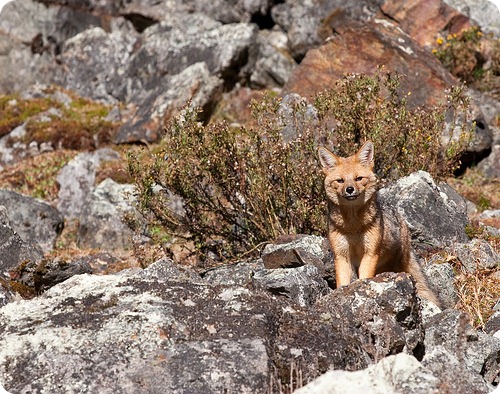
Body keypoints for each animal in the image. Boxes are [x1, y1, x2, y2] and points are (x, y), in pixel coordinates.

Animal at [318, 140, 440, 306]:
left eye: (358, 178)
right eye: (340, 181)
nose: (349, 189)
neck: (353, 227)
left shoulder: (371, 253)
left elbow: (365, 278)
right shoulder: (341, 255)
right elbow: (342, 282)